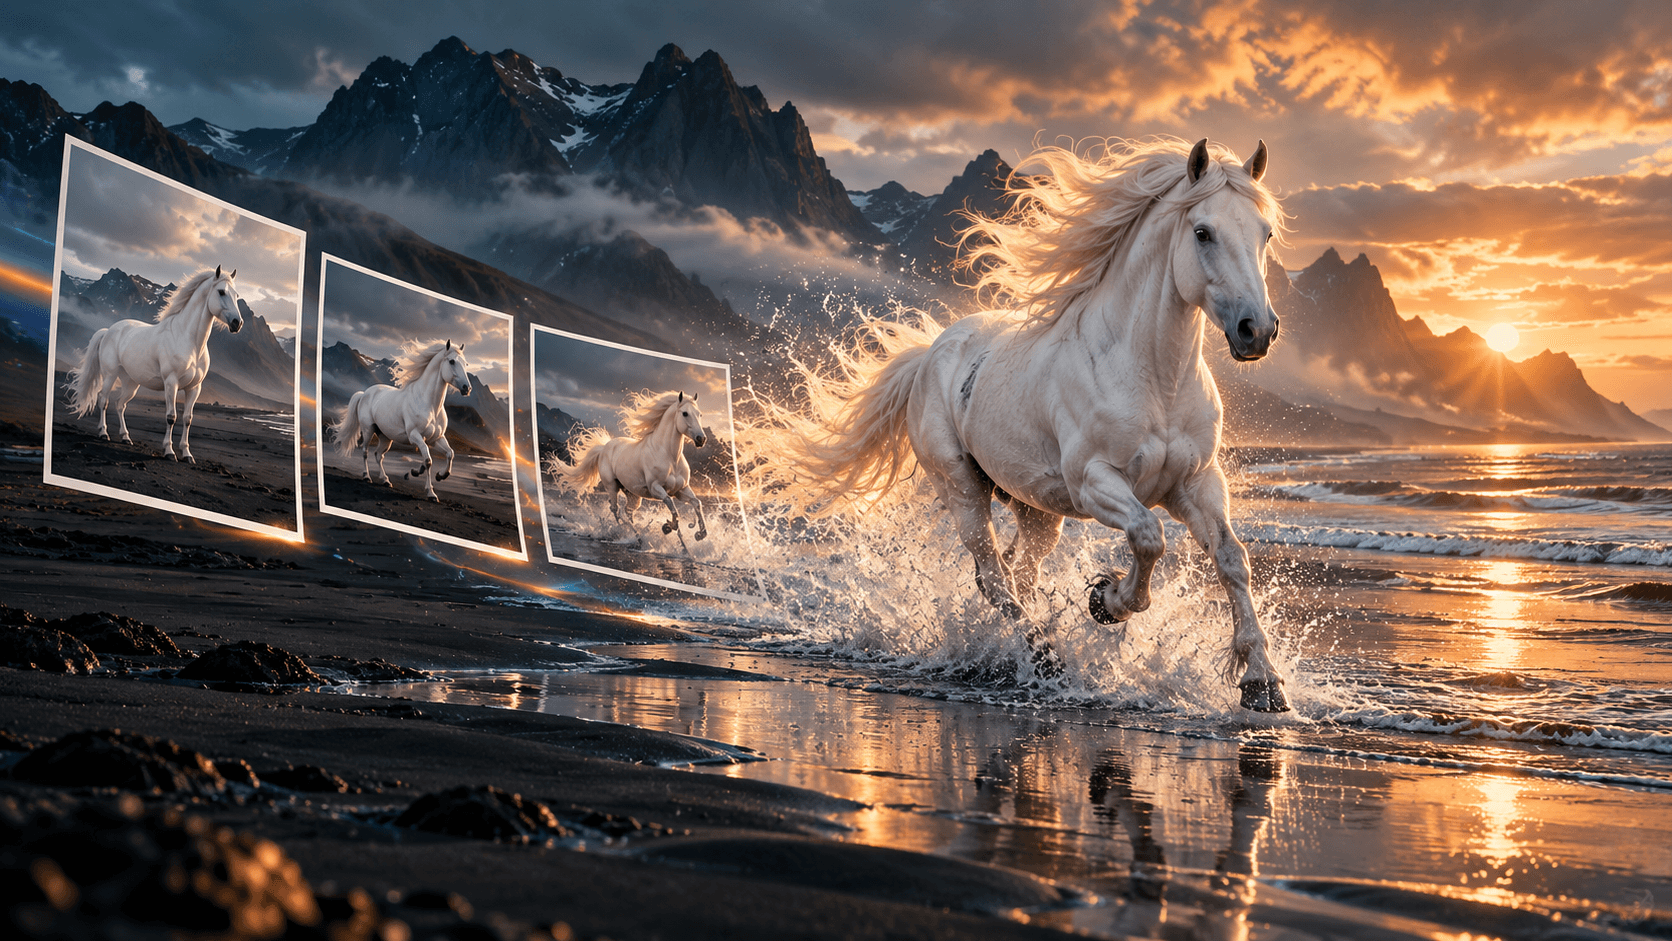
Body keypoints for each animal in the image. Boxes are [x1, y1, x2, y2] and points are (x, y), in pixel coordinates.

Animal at [67, 265, 244, 463]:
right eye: (221, 292)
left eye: (236, 295)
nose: (237, 323)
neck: (188, 340)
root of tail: (108, 330)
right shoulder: (171, 383)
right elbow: (171, 417)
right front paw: (169, 451)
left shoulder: (194, 388)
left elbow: (187, 419)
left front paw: (187, 454)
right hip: (110, 376)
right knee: (103, 400)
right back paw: (104, 433)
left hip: (131, 383)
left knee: (120, 405)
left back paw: (126, 437)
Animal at [333, 340, 471, 502]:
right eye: (452, 361)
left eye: (466, 363)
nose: (467, 388)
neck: (429, 404)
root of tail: (364, 393)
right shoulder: (415, 436)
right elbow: (428, 460)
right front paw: (431, 492)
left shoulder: (436, 438)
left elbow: (450, 453)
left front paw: (439, 475)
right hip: (368, 430)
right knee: (365, 452)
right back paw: (367, 477)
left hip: (385, 437)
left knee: (378, 455)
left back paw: (386, 480)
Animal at [553, 390, 710, 554]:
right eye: (685, 413)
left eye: (700, 414)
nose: (701, 439)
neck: (669, 456)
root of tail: (604, 448)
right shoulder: (656, 488)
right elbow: (671, 505)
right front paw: (668, 527)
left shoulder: (681, 490)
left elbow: (697, 503)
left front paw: (699, 535)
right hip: (612, 487)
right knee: (617, 511)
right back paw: (631, 535)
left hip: (633, 495)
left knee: (628, 512)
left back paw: (637, 535)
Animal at [779, 138, 1292, 711]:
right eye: (1202, 232)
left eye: (1265, 233)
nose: (1256, 331)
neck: (1152, 378)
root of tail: (931, 352)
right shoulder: (1095, 481)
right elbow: (1148, 536)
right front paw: (1106, 599)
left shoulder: (1197, 483)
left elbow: (1232, 559)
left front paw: (1263, 682)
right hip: (962, 488)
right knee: (995, 577)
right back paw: (1044, 655)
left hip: (1038, 510)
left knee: (1018, 575)